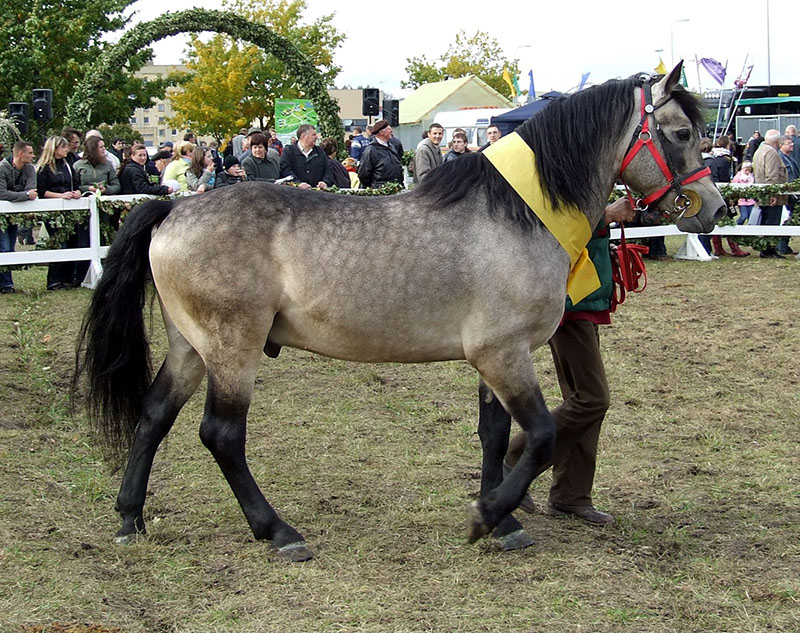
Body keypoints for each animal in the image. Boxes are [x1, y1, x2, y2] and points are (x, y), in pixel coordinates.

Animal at [75, 64, 724, 556]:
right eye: (679, 132)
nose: (711, 207)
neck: (518, 214)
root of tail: (174, 208)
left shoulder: (493, 358)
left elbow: (494, 434)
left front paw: (507, 521)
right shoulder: (504, 355)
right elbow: (540, 435)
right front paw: (486, 516)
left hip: (192, 347)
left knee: (154, 416)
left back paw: (130, 519)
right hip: (232, 349)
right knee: (221, 434)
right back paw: (278, 531)